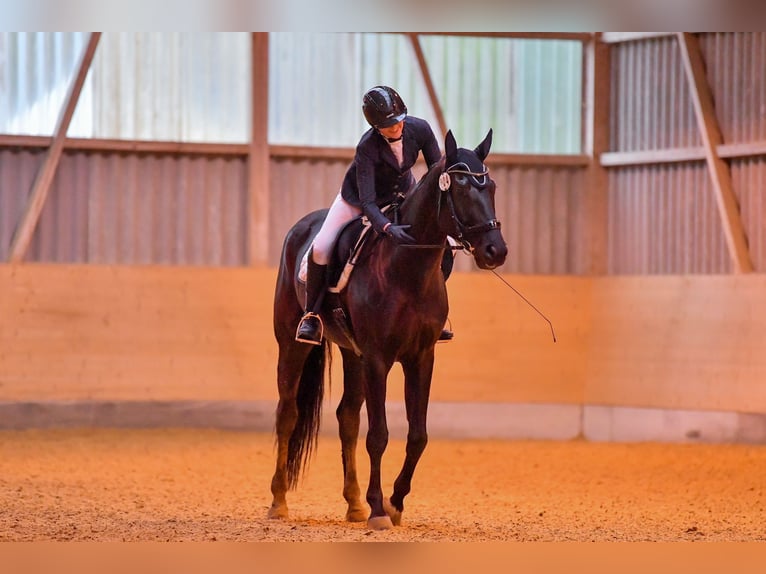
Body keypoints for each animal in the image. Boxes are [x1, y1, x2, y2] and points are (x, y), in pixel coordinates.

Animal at [268, 128, 508, 532]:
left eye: (490, 187)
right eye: (460, 188)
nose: (496, 251)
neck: (407, 270)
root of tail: (301, 228)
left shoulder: (421, 357)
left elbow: (418, 435)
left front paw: (394, 503)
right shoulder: (379, 359)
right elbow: (378, 435)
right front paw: (379, 509)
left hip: (352, 353)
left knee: (347, 417)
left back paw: (353, 504)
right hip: (292, 343)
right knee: (288, 413)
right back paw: (279, 501)